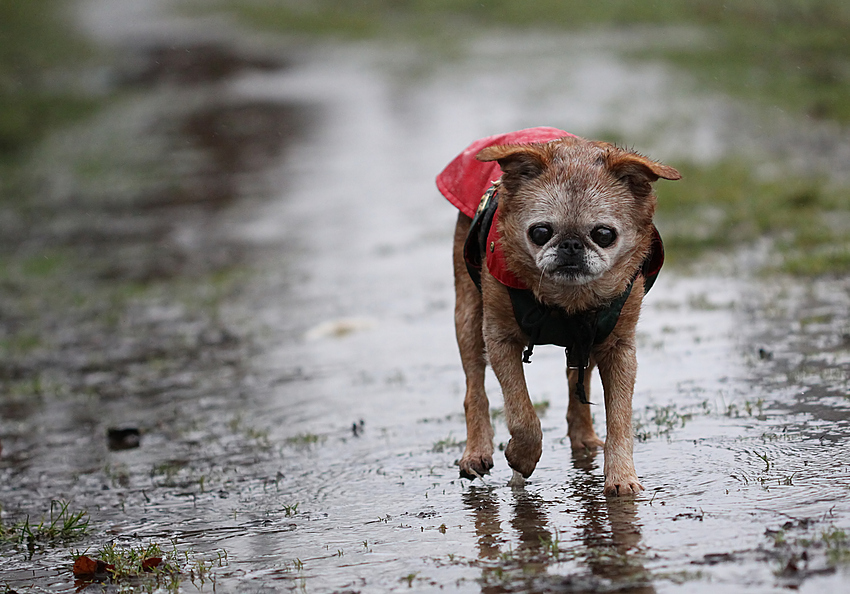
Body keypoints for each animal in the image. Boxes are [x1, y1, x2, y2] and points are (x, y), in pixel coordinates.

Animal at [434, 128, 680, 494]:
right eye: (540, 232)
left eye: (604, 234)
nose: (571, 245)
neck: (567, 301)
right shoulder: (500, 341)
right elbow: (521, 414)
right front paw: (521, 456)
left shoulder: (618, 348)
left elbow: (620, 416)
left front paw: (621, 477)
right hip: (467, 317)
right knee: (474, 386)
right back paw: (476, 451)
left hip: (586, 342)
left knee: (578, 385)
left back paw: (584, 437)